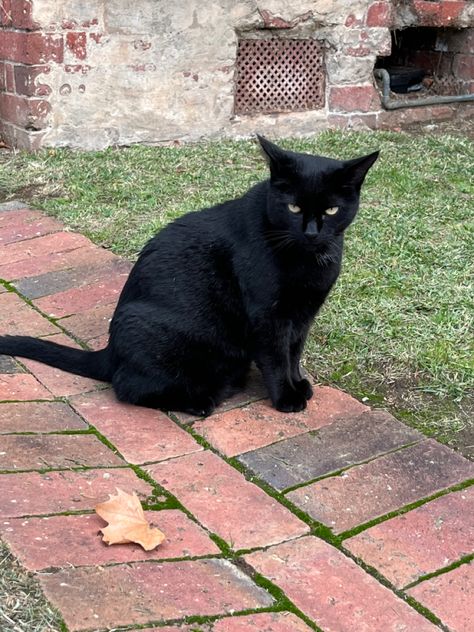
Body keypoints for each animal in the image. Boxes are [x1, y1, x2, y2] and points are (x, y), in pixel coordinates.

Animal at [0, 137, 378, 414]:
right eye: (294, 207)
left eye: (332, 210)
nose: (312, 232)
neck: (309, 259)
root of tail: (109, 350)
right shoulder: (268, 317)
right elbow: (276, 357)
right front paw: (287, 398)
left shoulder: (303, 314)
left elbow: (294, 353)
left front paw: (298, 382)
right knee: (127, 386)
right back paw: (201, 400)